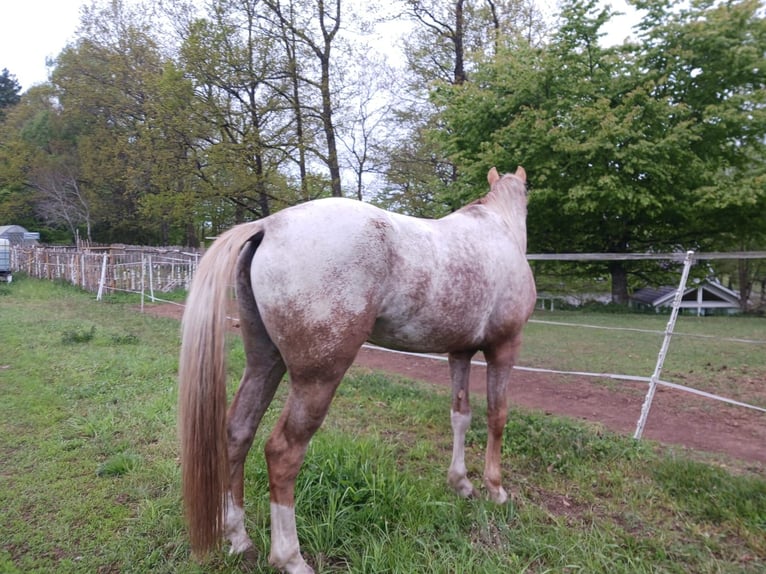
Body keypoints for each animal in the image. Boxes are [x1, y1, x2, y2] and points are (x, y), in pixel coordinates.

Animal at [178, 166, 536, 573]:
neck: (498, 229)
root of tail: (268, 225)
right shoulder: (504, 348)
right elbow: (497, 416)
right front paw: (496, 489)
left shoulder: (459, 352)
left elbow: (460, 415)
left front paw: (460, 483)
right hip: (317, 379)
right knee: (283, 452)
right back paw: (290, 558)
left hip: (263, 362)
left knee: (238, 432)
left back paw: (238, 538)